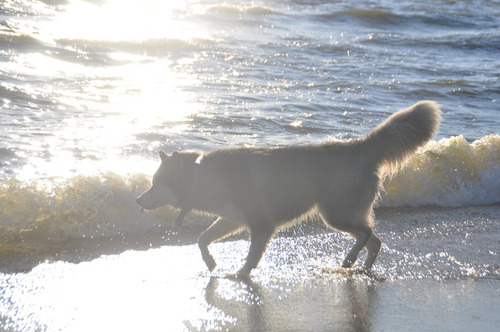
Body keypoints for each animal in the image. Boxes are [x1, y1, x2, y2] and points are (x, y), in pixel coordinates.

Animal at [138, 100, 442, 278]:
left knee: (366, 234)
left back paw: (350, 259)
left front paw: (241, 274)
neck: (206, 177)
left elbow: (251, 256)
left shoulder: (262, 225)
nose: (138, 200)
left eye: (155, 184)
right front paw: (212, 263)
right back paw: (361, 269)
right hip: (345, 213)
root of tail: (360, 146)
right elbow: (202, 239)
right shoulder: (233, 219)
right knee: (374, 240)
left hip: (334, 214)